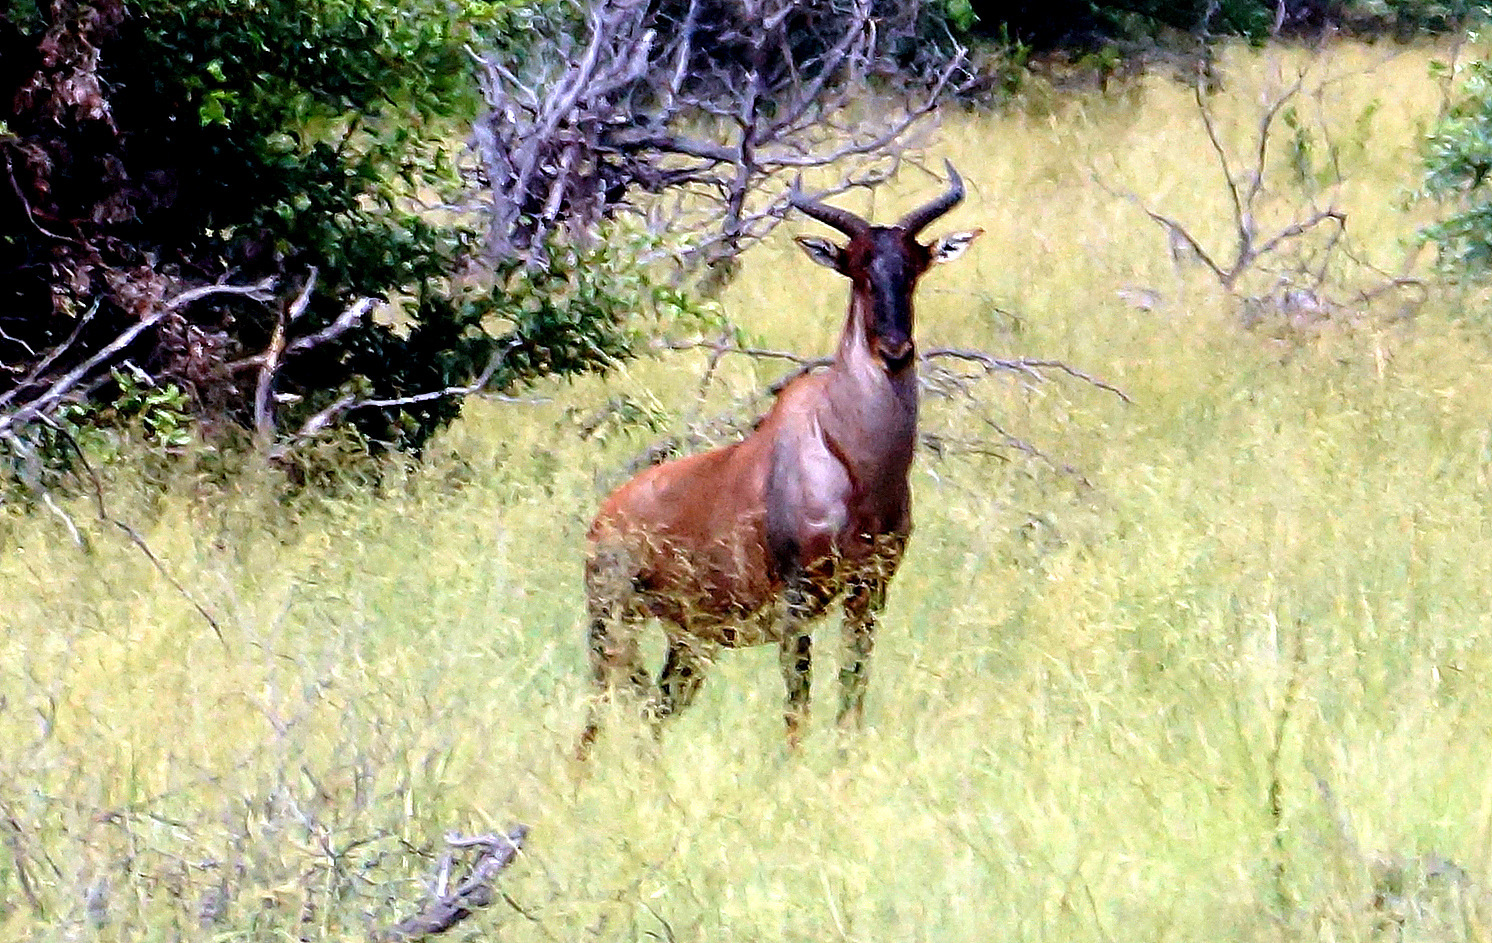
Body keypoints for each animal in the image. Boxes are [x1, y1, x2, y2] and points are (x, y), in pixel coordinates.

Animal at [578, 158, 978, 754]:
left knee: (656, 713)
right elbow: (797, 705)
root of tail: (604, 519)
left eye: (914, 266)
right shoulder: (797, 603)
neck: (847, 457)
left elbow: (851, 697)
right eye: (857, 269)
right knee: (594, 717)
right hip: (611, 623)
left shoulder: (870, 595)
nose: (895, 351)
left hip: (690, 642)